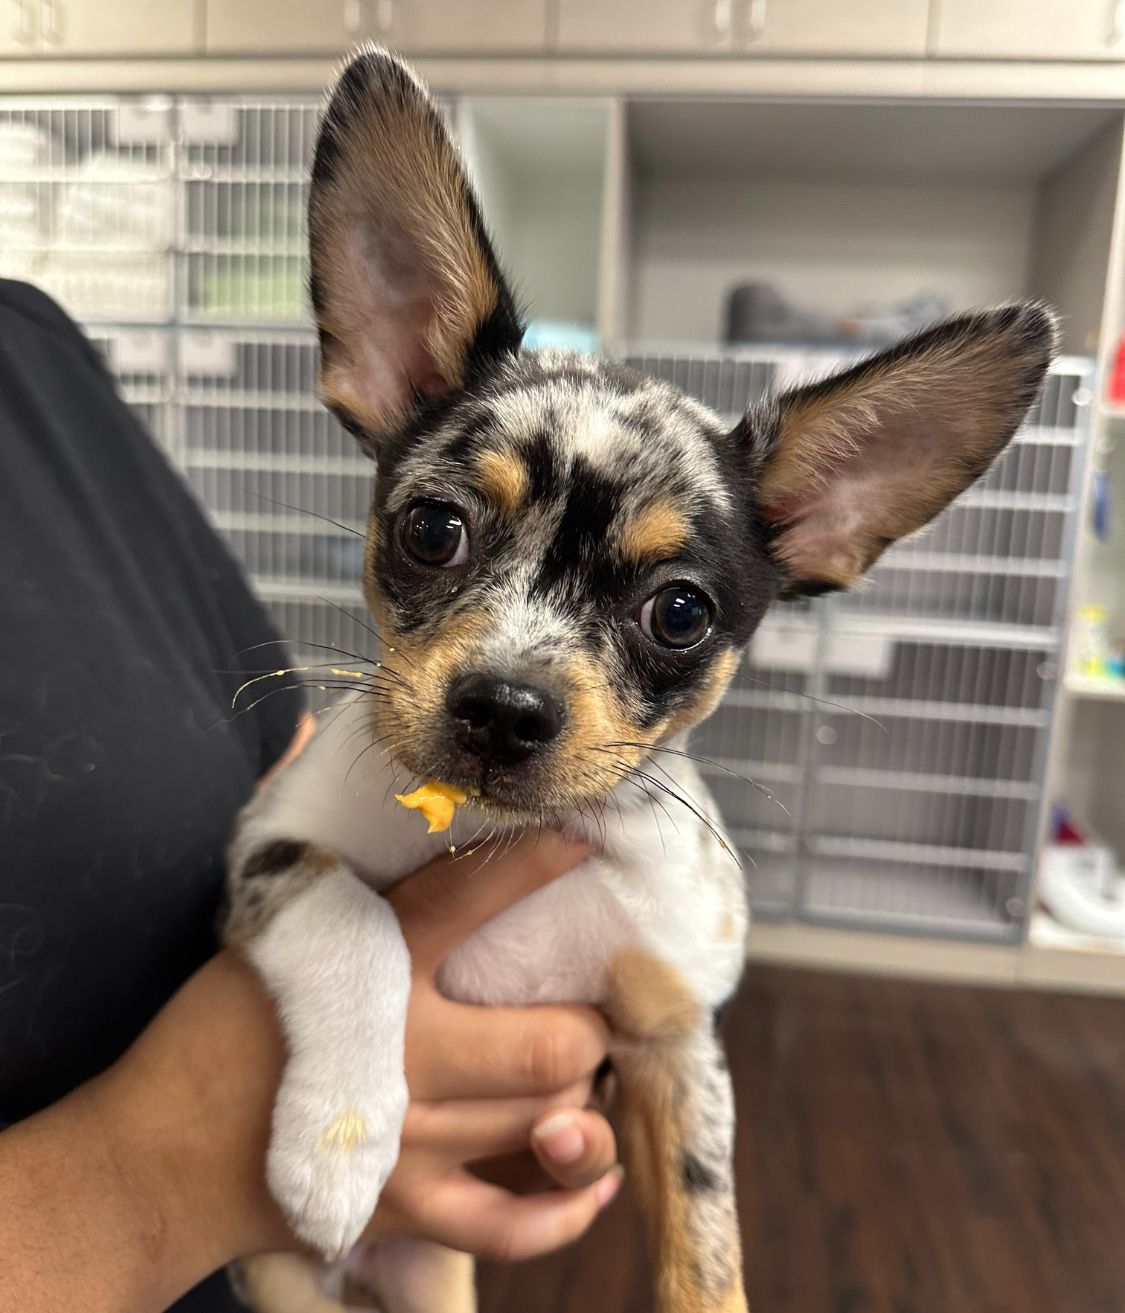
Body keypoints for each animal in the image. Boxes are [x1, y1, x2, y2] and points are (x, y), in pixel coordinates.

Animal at [225, 46, 1055, 1307]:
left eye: (680, 611)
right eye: (432, 530)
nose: (503, 706)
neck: (498, 836)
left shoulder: (674, 1044)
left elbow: (704, 1245)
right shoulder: (267, 847)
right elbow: (354, 912)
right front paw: (340, 1137)